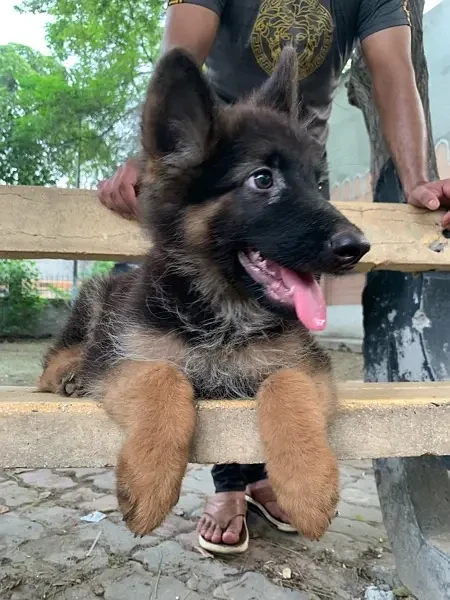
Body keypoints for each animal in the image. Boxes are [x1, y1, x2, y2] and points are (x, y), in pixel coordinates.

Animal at [39, 48, 370, 540]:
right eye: (262, 179)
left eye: (316, 182)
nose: (358, 247)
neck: (225, 309)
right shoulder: (122, 357)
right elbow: (162, 375)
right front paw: (150, 478)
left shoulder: (308, 364)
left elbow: (287, 382)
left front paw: (308, 486)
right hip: (98, 300)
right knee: (55, 357)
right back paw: (69, 372)